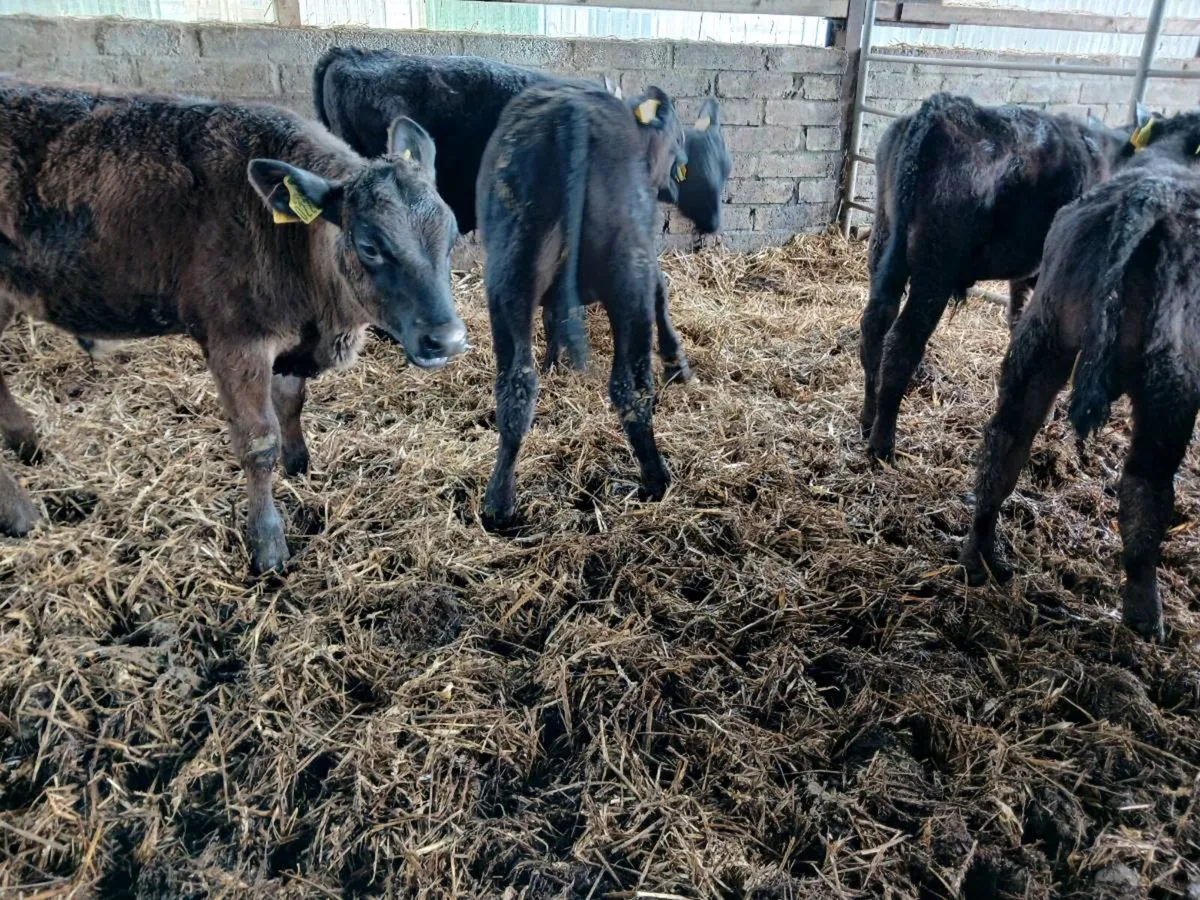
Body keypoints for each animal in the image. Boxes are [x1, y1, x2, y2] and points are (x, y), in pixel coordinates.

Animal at [0, 80, 467, 572]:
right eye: (369, 245)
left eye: (453, 233)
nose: (448, 339)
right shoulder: (236, 341)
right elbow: (258, 441)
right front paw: (268, 545)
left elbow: (292, 404)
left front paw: (300, 466)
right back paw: (23, 514)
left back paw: (29, 446)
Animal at [475, 82, 686, 532]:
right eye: (676, 136)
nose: (675, 178)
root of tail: (572, 113)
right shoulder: (648, 257)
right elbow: (662, 292)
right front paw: (677, 361)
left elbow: (557, 316)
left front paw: (557, 362)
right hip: (628, 270)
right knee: (631, 386)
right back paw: (656, 481)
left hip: (508, 277)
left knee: (516, 386)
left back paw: (498, 505)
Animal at [860, 92, 1147, 462]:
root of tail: (940, 110)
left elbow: (1017, 322)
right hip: (935, 268)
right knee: (902, 343)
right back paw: (883, 443)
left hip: (883, 242)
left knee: (874, 326)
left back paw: (867, 419)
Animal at [960, 117, 1200, 641]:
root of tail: (1147, 198)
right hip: (1171, 383)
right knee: (1147, 487)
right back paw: (1145, 616)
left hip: (1043, 333)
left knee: (1006, 440)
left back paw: (979, 555)